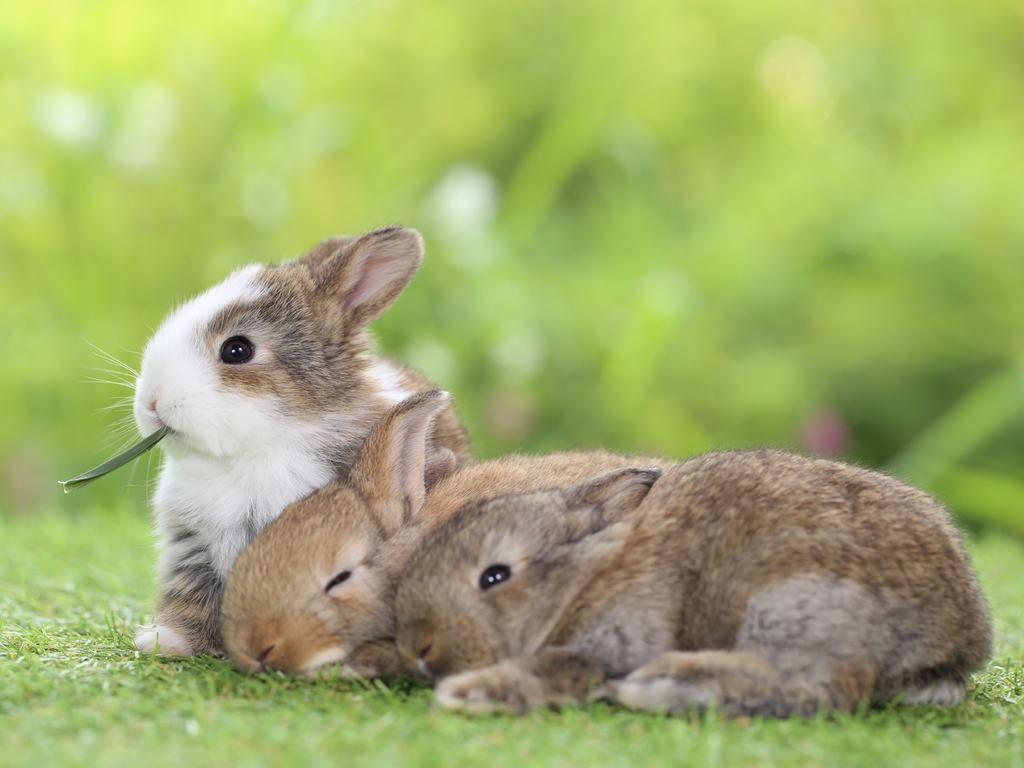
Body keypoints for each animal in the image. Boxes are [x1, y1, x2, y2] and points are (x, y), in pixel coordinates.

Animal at [129, 225, 475, 659]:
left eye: (237, 350)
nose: (151, 400)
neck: (255, 451)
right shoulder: (192, 549)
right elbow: (191, 597)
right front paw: (165, 641)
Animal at [391, 450, 991, 720]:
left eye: (494, 576)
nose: (416, 647)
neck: (584, 577)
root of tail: (961, 640)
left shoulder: (616, 638)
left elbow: (554, 669)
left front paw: (465, 693)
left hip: (792, 602)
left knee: (817, 686)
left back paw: (659, 686)